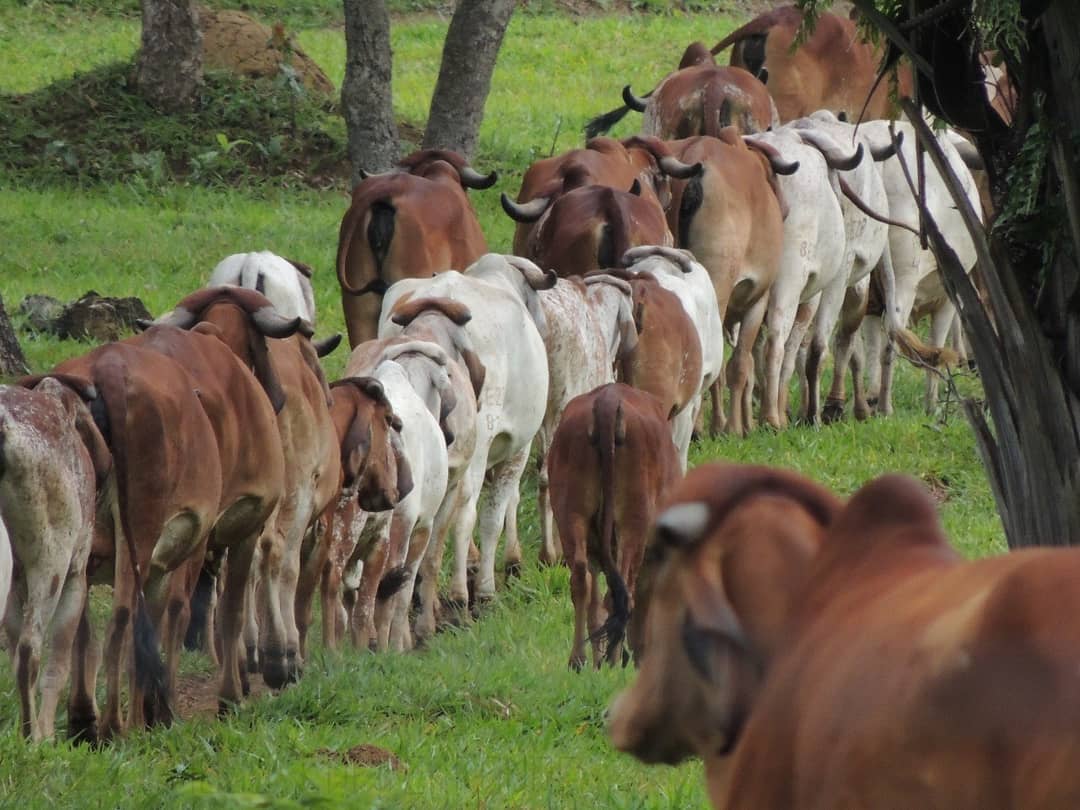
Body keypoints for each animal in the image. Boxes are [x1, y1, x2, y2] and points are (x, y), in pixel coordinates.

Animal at [548, 384, 682, 673]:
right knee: (623, 593)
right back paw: (609, 660)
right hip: (633, 521)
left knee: (581, 580)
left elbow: (595, 606)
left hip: (570, 514)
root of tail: (607, 400)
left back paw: (578, 660)